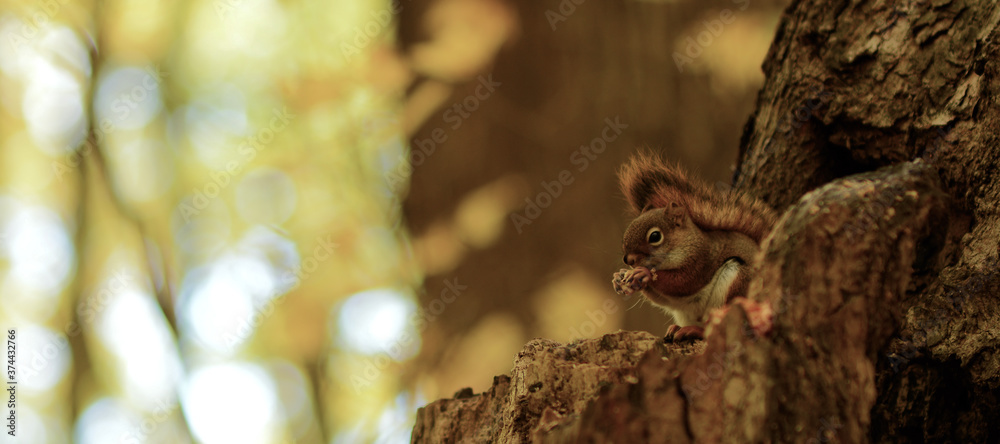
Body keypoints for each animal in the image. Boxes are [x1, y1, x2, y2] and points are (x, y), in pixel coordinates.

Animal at [611, 153, 777, 342]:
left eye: (655, 236)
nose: (628, 260)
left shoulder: (702, 259)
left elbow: (683, 281)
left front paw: (644, 273)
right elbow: (661, 298)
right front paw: (620, 278)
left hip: (738, 284)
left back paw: (695, 331)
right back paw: (677, 328)